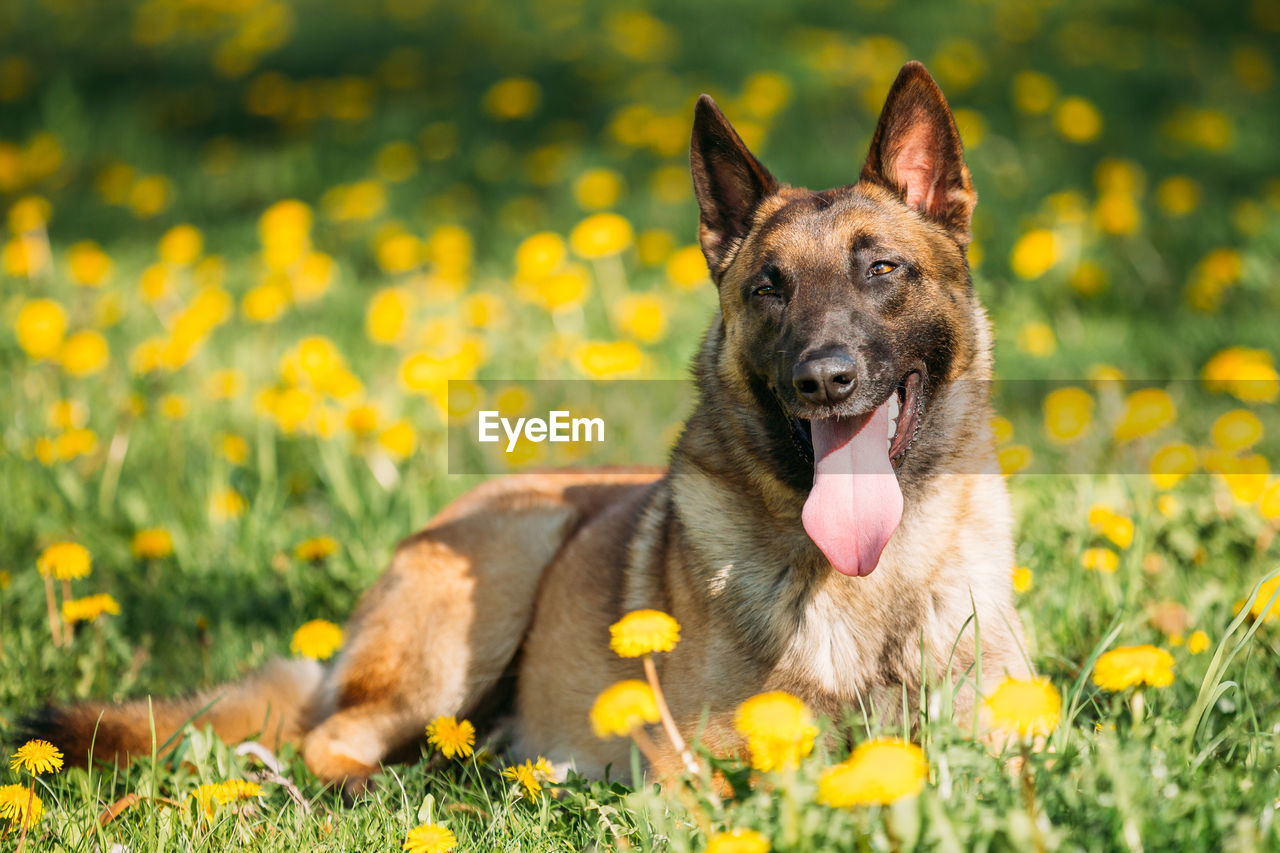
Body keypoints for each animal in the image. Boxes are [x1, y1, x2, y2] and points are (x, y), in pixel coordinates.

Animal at [27, 63, 1029, 788]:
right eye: (768, 288)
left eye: (883, 269)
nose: (824, 378)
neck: (874, 581)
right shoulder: (692, 762)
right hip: (502, 573)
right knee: (330, 740)